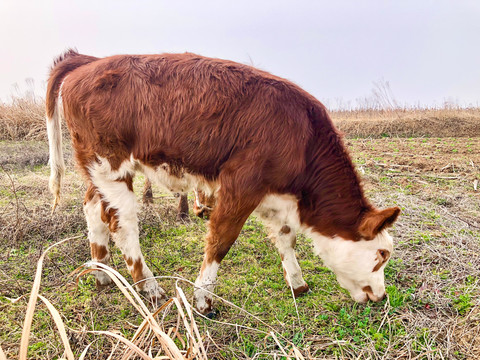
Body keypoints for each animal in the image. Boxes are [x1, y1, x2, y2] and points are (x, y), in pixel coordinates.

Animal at [47, 50, 400, 316]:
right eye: (382, 254)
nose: (382, 296)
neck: (301, 135)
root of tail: (90, 60)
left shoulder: (274, 196)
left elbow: (286, 238)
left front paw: (297, 283)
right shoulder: (240, 187)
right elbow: (221, 241)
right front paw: (203, 299)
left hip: (98, 169)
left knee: (93, 209)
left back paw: (101, 272)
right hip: (111, 165)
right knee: (123, 225)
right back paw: (149, 286)